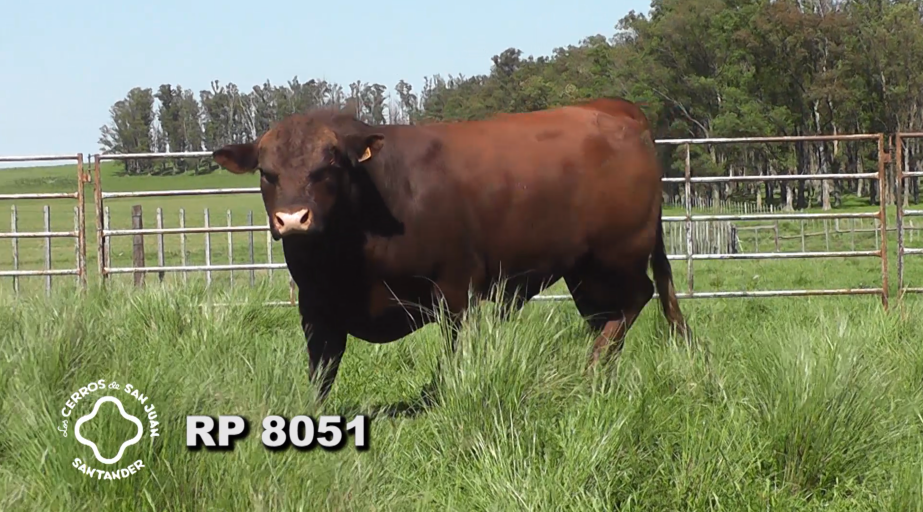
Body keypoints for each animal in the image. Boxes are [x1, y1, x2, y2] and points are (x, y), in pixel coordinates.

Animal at [213, 97, 688, 400]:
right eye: (267, 172)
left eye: (327, 166)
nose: (293, 219)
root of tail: (613, 109)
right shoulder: (315, 308)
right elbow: (321, 371)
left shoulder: (457, 290)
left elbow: (453, 354)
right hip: (584, 271)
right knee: (605, 316)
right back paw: (598, 368)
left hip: (617, 256)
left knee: (636, 298)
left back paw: (592, 368)